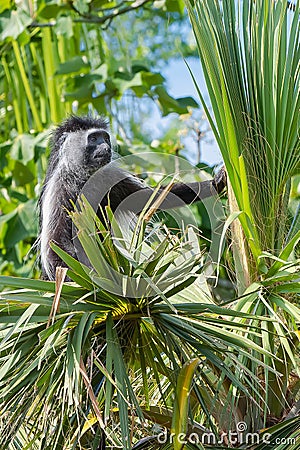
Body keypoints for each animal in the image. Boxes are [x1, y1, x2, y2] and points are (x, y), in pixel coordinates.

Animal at [38, 115, 225, 282]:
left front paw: (216, 182)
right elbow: (57, 243)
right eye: (94, 138)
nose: (105, 146)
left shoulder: (110, 179)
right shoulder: (60, 191)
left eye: (105, 138)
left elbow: (149, 197)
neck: (86, 176)